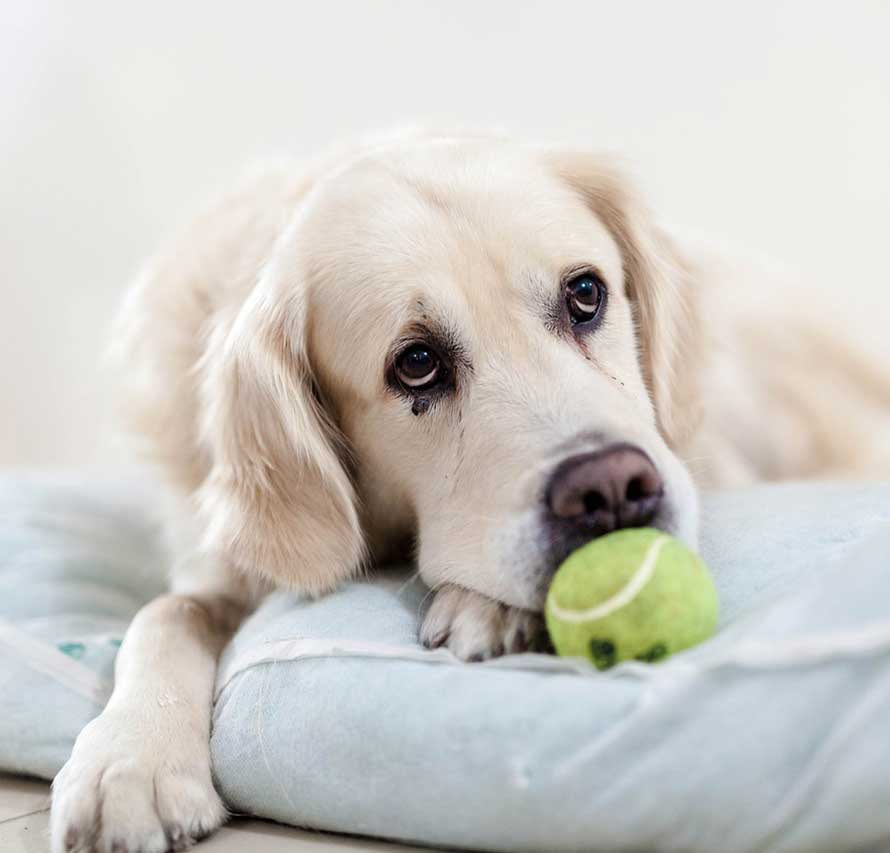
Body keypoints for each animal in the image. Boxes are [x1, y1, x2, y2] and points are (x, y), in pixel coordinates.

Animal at [50, 128, 888, 852]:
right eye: (416, 363)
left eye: (587, 293)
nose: (612, 489)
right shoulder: (222, 563)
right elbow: (165, 614)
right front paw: (130, 759)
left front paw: (489, 603)